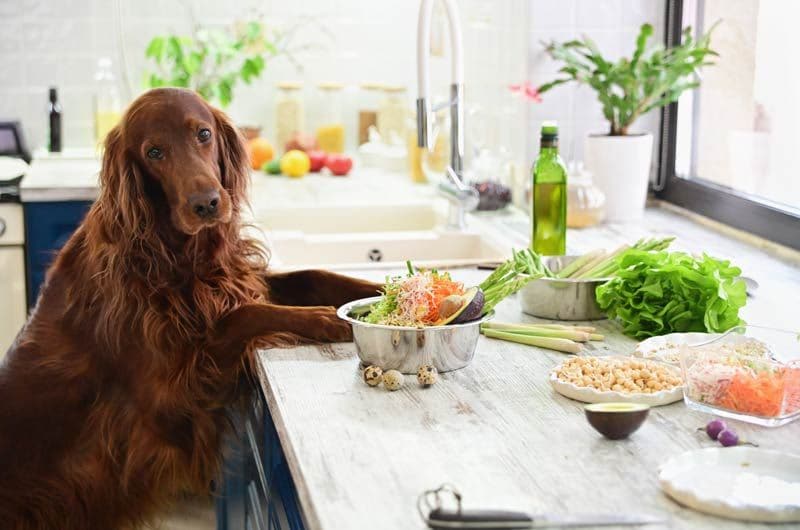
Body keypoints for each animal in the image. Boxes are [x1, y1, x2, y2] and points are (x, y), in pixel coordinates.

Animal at [0, 88, 380, 524]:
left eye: (203, 133)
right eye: (154, 152)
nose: (207, 204)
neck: (174, 253)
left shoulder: (236, 281)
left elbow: (315, 275)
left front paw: (391, 286)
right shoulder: (171, 395)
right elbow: (243, 315)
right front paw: (323, 319)